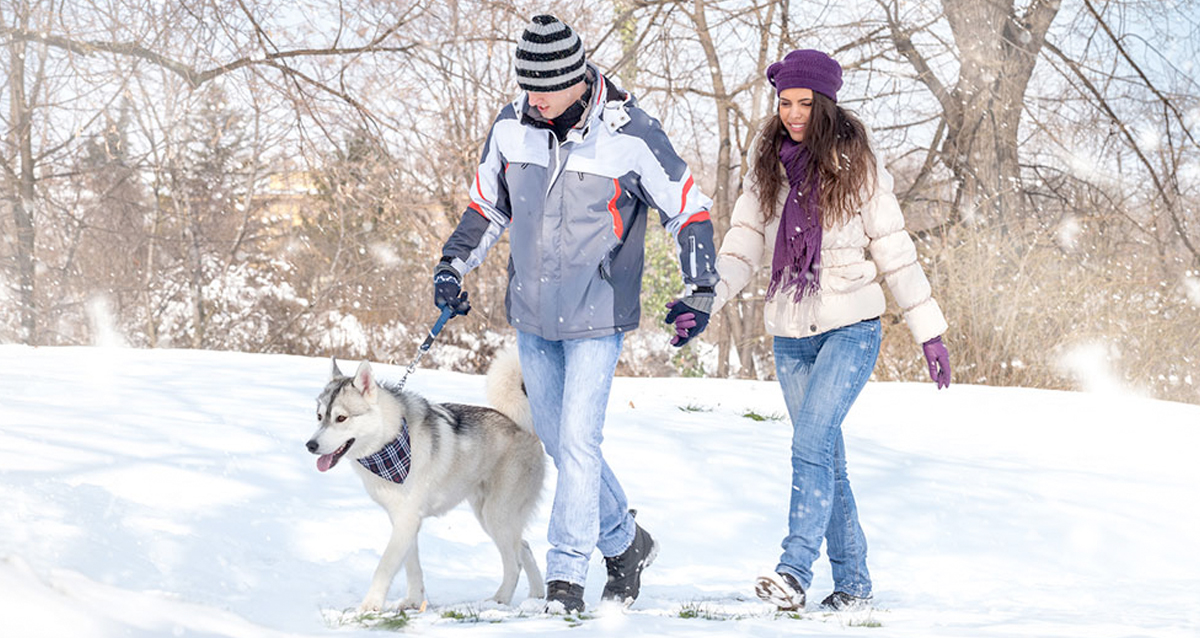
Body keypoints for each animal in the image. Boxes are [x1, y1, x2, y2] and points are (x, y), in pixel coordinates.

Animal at [304, 352, 544, 611]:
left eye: (341, 418)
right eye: (319, 417)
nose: (310, 445)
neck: (389, 440)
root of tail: (523, 426)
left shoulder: (407, 520)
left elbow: (385, 566)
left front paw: (370, 605)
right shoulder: (403, 519)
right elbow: (412, 567)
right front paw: (413, 600)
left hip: (497, 516)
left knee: (514, 563)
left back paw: (499, 600)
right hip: (490, 517)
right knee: (525, 547)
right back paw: (537, 594)